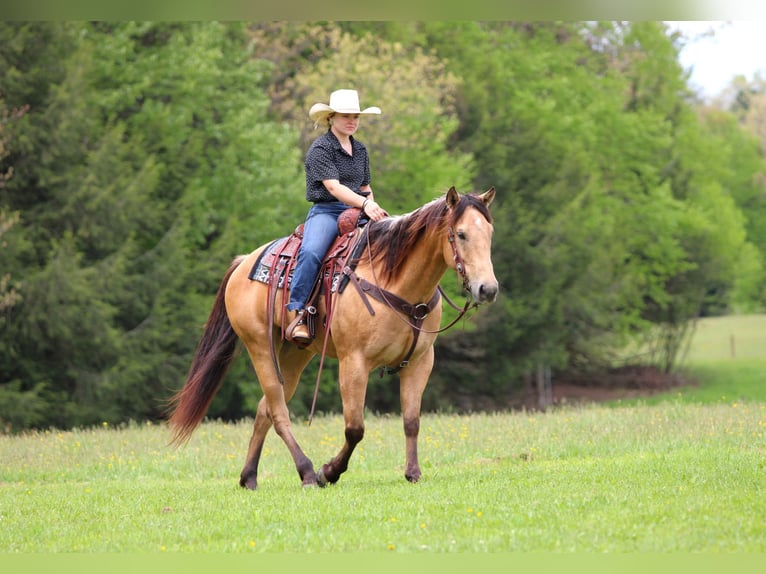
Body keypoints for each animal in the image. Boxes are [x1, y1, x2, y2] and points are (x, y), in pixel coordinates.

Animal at [167, 186, 498, 489]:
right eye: (461, 234)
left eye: (489, 233)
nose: (488, 289)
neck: (396, 281)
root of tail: (245, 262)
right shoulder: (354, 362)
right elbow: (355, 428)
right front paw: (330, 471)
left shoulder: (420, 361)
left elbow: (411, 421)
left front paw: (413, 473)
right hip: (259, 346)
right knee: (278, 411)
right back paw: (307, 472)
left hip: (296, 353)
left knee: (265, 409)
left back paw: (249, 477)